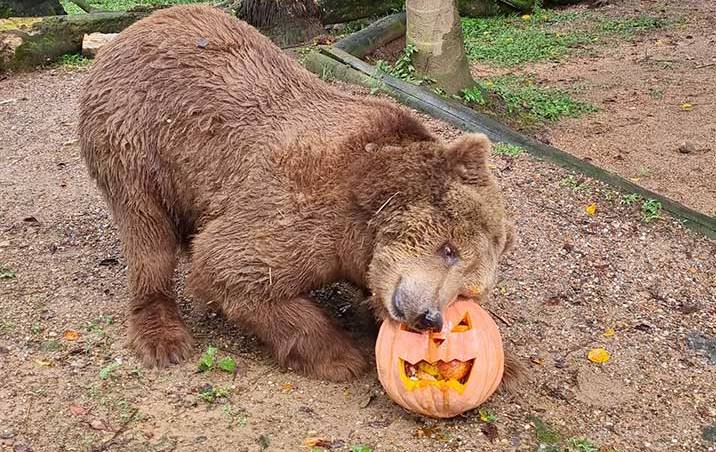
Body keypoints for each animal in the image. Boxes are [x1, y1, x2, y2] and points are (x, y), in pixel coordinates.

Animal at [77, 5, 516, 384]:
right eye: (448, 248)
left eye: (468, 289)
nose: (428, 316)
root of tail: (136, 28)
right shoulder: (307, 205)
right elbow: (230, 264)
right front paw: (342, 355)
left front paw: (507, 366)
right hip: (134, 138)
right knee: (147, 235)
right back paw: (162, 335)